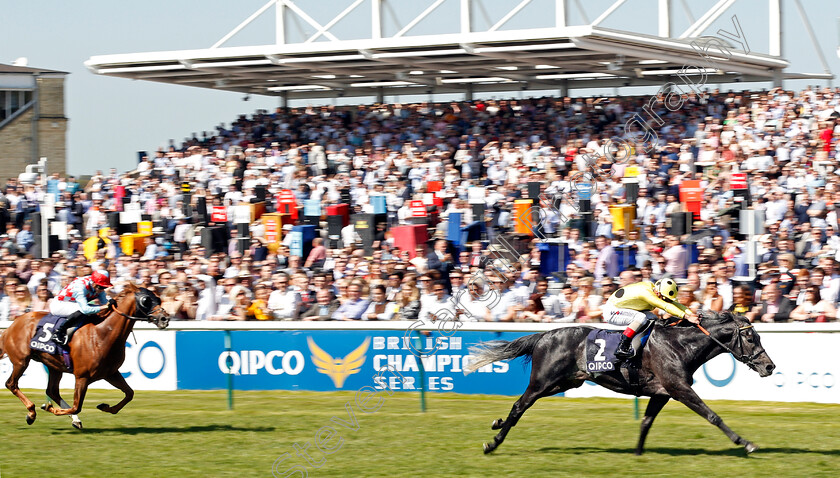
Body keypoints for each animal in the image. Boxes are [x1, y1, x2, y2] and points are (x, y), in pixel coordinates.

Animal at [0, 284, 169, 430]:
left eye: (158, 298)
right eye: (146, 300)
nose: (164, 318)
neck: (102, 334)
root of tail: (11, 326)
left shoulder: (111, 373)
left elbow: (129, 394)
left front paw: (105, 407)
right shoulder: (82, 377)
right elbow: (77, 406)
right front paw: (49, 408)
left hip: (54, 365)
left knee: (52, 391)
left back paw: (72, 419)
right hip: (21, 361)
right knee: (11, 384)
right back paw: (31, 412)